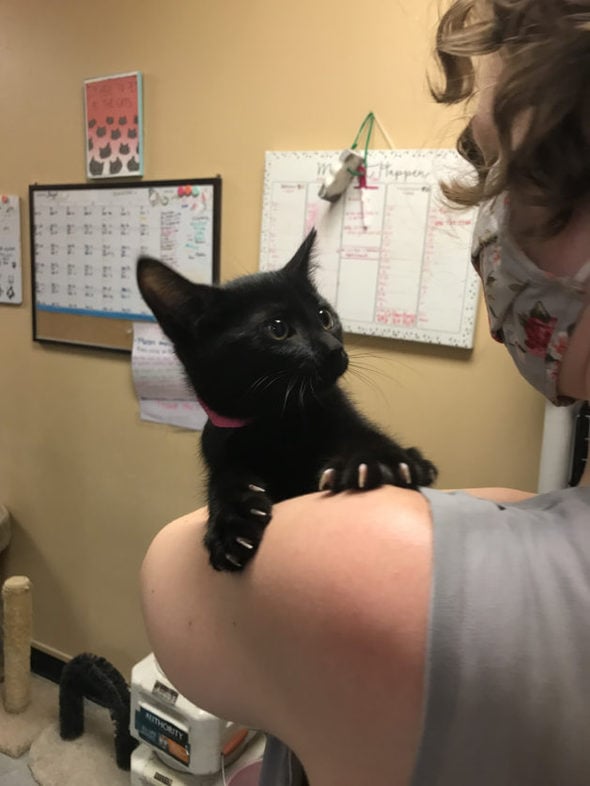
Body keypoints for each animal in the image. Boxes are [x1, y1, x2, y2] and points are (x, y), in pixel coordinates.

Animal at [138, 228, 434, 568]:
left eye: (324, 316)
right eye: (278, 329)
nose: (334, 348)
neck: (279, 421)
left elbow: (368, 438)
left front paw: (378, 461)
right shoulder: (219, 445)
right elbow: (222, 480)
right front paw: (231, 519)